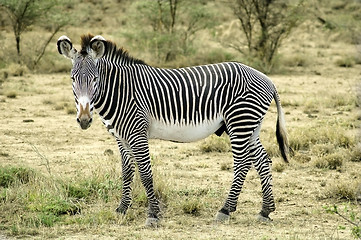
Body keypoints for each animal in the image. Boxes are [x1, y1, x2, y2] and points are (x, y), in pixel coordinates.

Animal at [57, 34, 292, 227]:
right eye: (72, 79)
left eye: (95, 79)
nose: (84, 120)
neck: (120, 91)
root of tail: (268, 79)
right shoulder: (121, 137)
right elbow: (126, 172)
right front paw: (122, 209)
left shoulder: (137, 132)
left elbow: (145, 173)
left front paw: (153, 215)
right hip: (251, 125)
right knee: (262, 160)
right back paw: (265, 210)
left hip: (240, 121)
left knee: (243, 163)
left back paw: (225, 210)